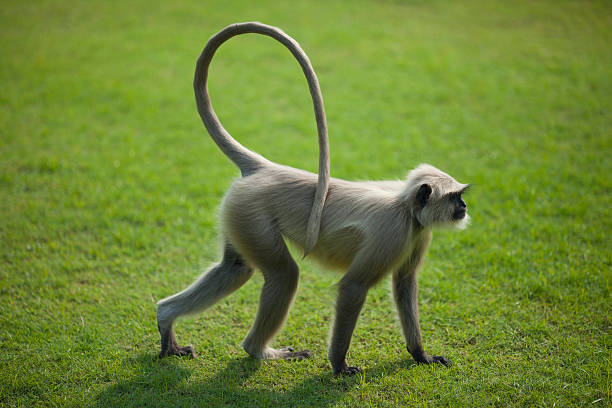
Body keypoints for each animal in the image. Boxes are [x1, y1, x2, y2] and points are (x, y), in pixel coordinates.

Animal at [155, 20, 470, 374]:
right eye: (455, 197)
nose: (464, 206)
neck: (405, 204)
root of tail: (266, 168)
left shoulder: (418, 232)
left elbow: (404, 284)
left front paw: (420, 355)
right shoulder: (393, 232)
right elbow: (352, 288)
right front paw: (339, 365)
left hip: (239, 214)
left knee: (235, 268)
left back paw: (166, 319)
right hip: (252, 215)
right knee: (284, 275)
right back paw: (259, 351)